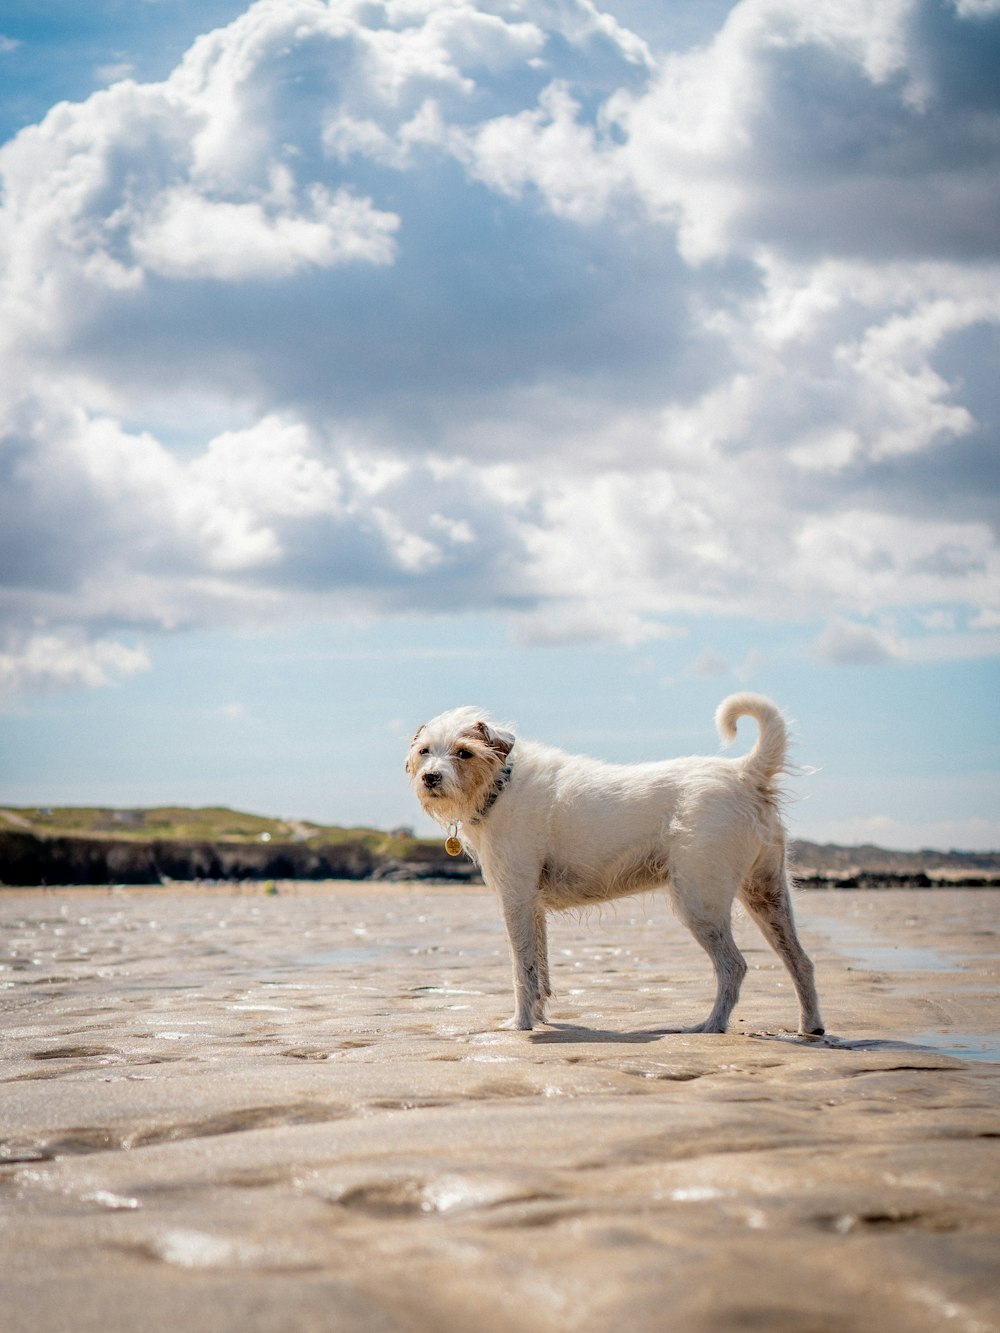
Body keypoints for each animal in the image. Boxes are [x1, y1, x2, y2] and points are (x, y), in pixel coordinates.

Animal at [402, 698, 826, 1039]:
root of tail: (744, 773)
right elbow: (540, 970)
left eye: (464, 752)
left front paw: (521, 1025)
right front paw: (540, 1017)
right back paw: (811, 1027)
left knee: (734, 967)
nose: (430, 777)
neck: (501, 784)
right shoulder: (533, 907)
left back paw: (711, 1026)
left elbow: (522, 969)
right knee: (800, 961)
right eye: (425, 751)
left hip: (700, 902)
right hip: (767, 895)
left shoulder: (516, 899)